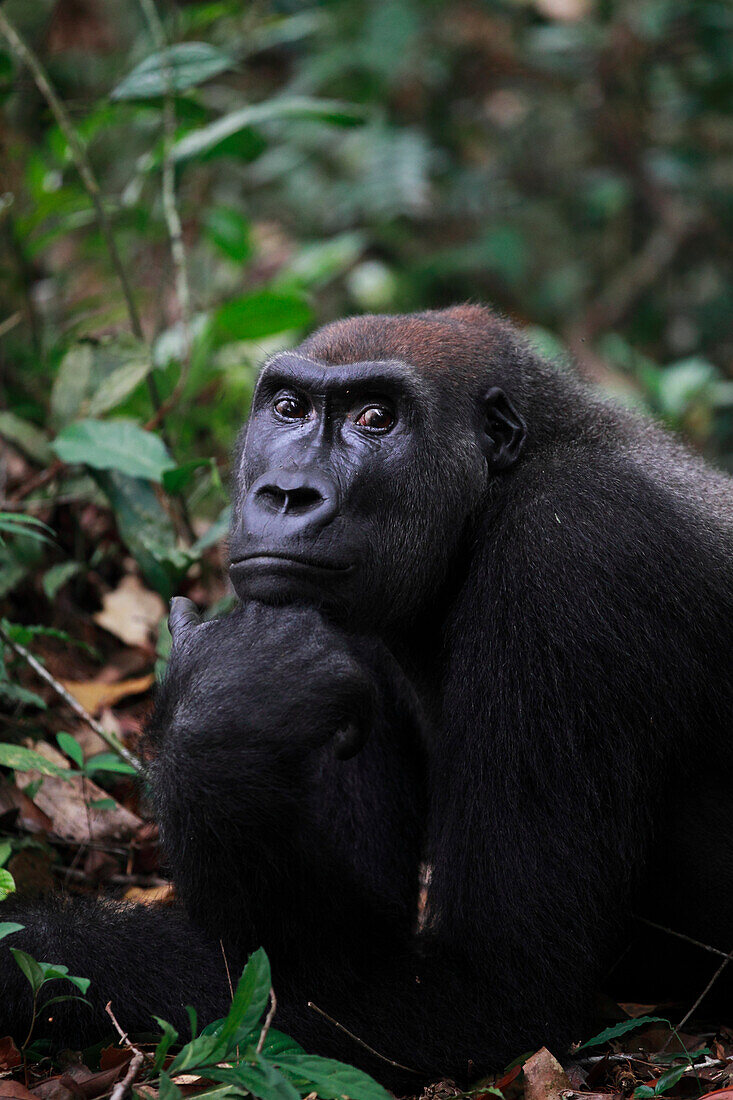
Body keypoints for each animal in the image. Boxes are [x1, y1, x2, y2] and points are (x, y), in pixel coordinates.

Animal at [1, 305, 730, 1086]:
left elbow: (498, 989)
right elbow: (342, 930)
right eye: (289, 409)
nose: (286, 494)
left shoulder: (573, 559)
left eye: (375, 418)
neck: (496, 493)